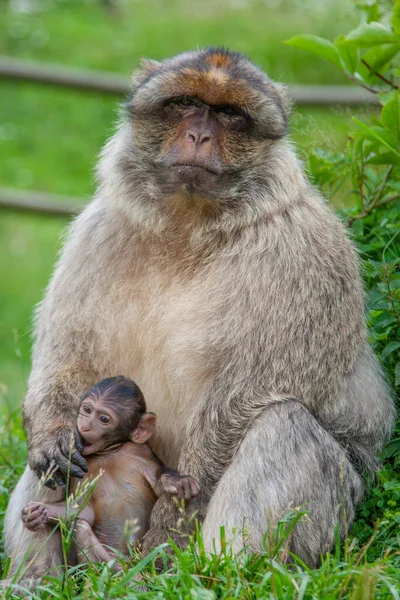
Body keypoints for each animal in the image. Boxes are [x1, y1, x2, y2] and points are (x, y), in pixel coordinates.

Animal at [21, 378, 200, 564]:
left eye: (104, 419)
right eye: (87, 409)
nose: (84, 427)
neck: (107, 454)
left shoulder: (139, 452)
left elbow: (158, 483)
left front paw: (180, 482)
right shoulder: (80, 472)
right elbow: (83, 511)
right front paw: (38, 514)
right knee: (81, 527)